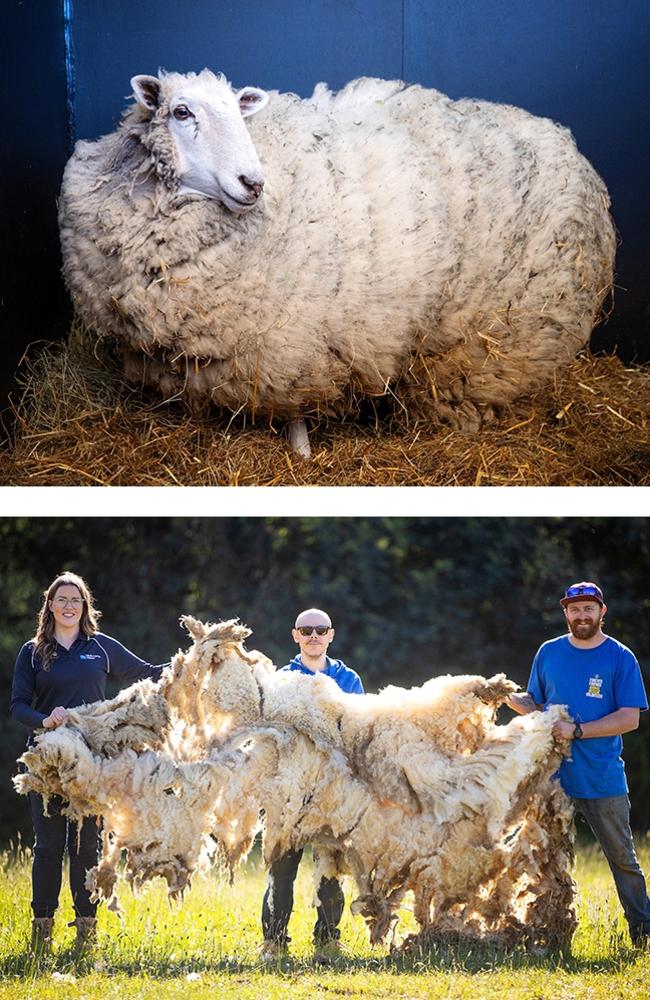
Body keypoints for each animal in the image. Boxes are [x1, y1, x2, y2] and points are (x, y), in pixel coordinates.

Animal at [58, 69, 616, 458]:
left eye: (239, 114)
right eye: (180, 111)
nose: (251, 183)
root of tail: (561, 138)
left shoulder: (293, 345)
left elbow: (296, 410)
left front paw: (302, 452)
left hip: (496, 339)